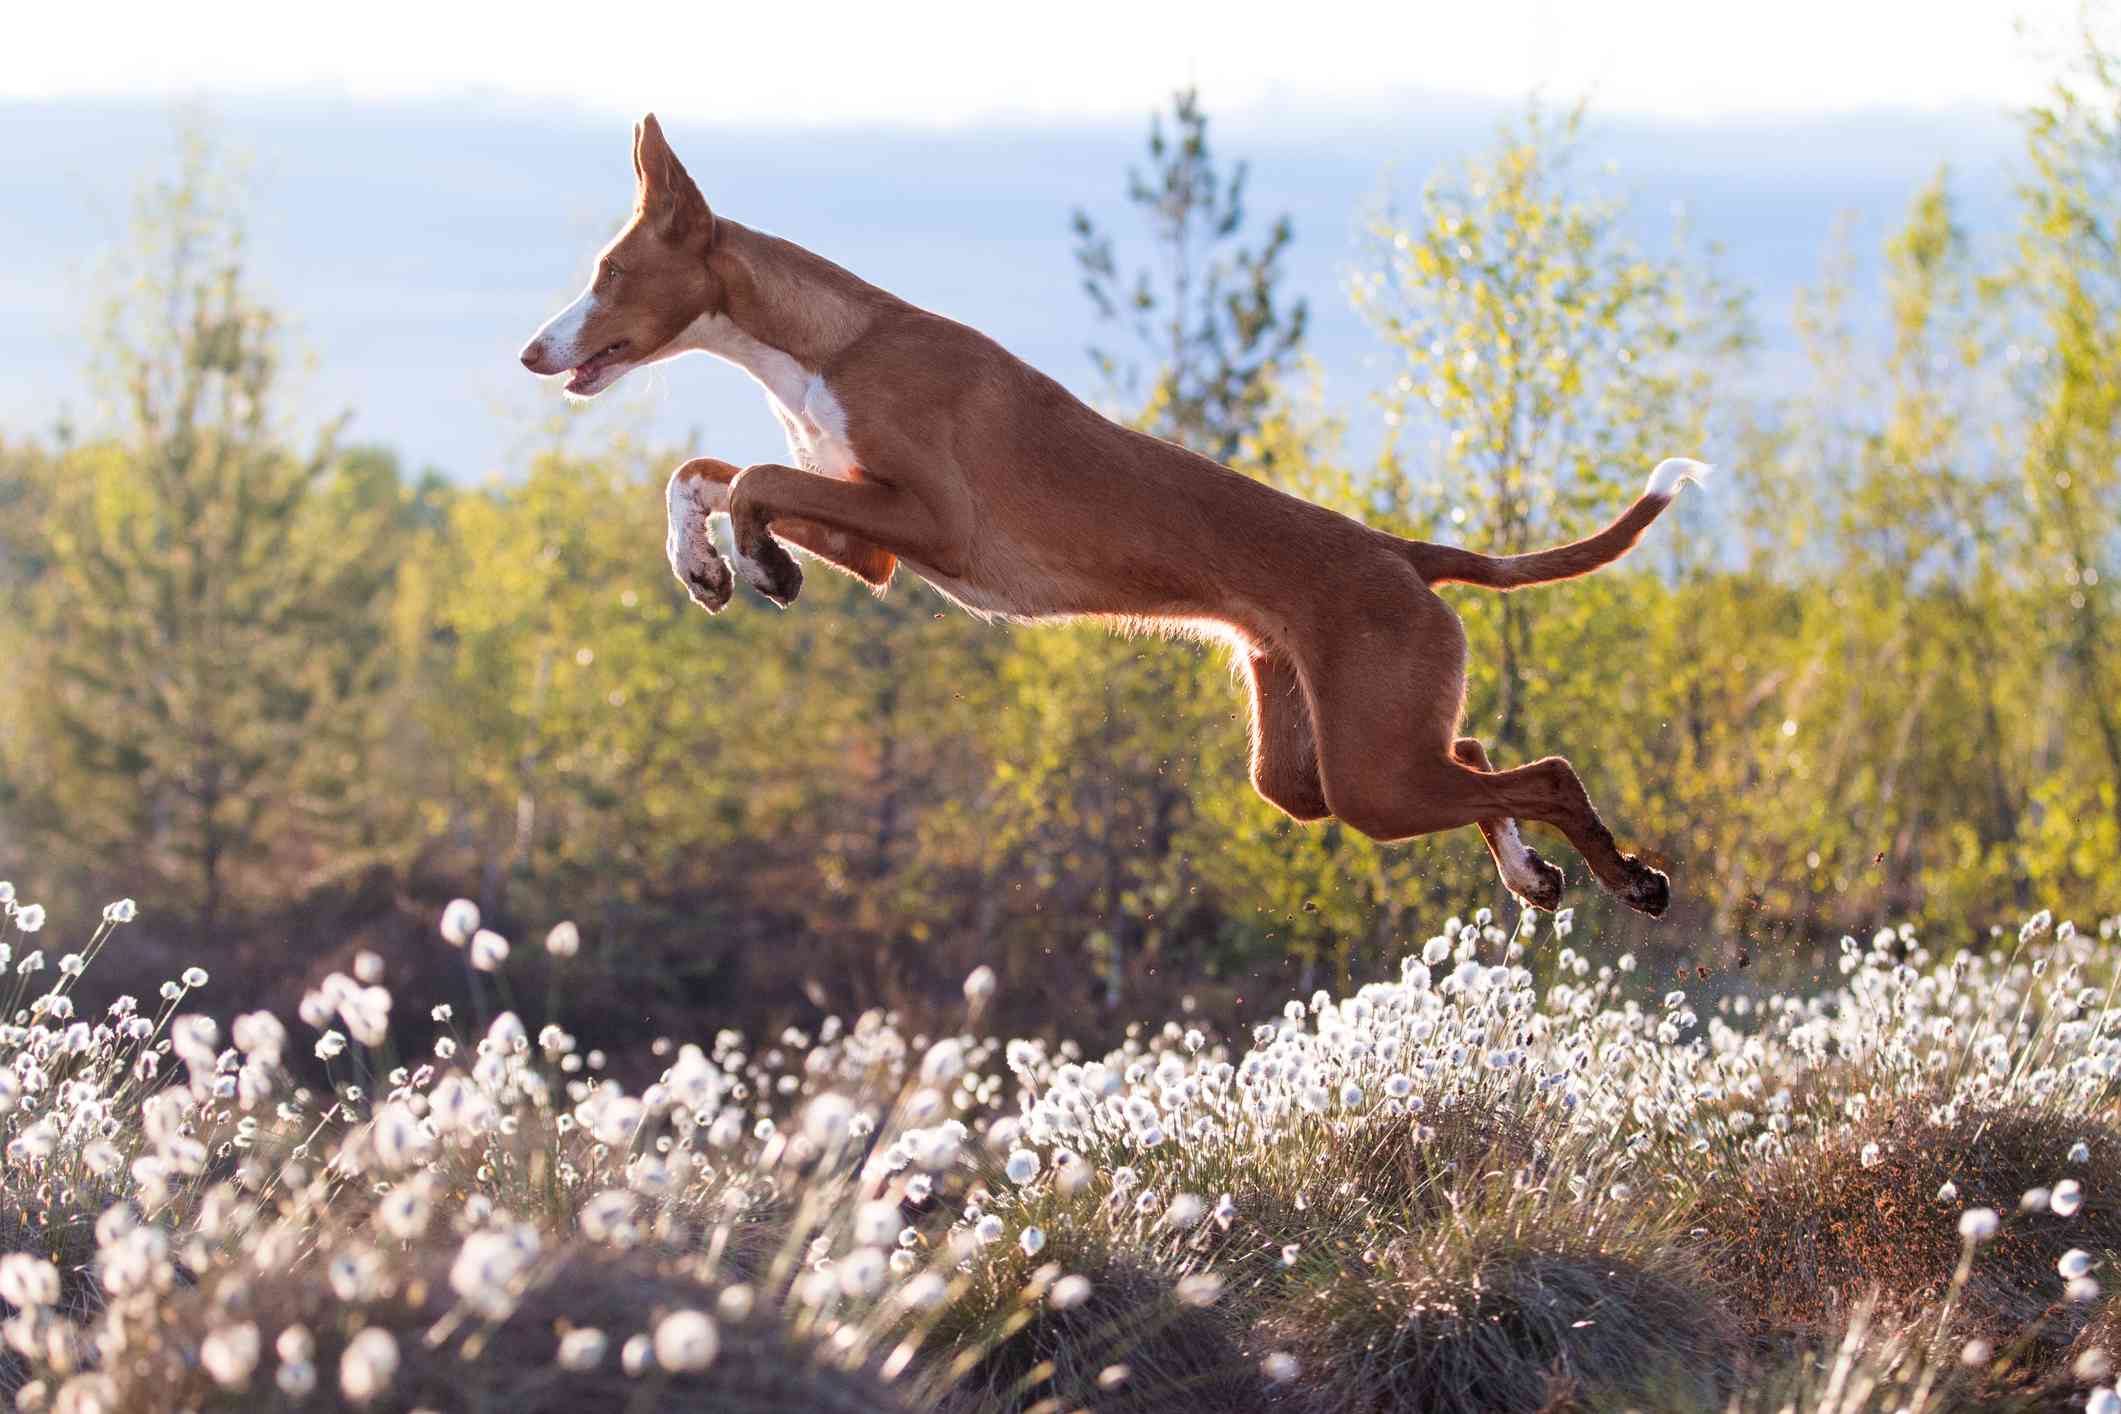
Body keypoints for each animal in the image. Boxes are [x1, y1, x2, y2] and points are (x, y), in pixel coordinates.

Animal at [517, 116, 1705, 924]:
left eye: (608, 274)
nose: (532, 351)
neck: (830, 346)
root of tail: (1404, 552)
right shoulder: (879, 543)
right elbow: (703, 472)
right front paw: (708, 564)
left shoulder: (930, 521)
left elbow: (755, 476)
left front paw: (758, 562)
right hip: (1316, 767)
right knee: (1475, 751)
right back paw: (1530, 868)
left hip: (1369, 773)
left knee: (1546, 773)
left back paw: (1629, 875)